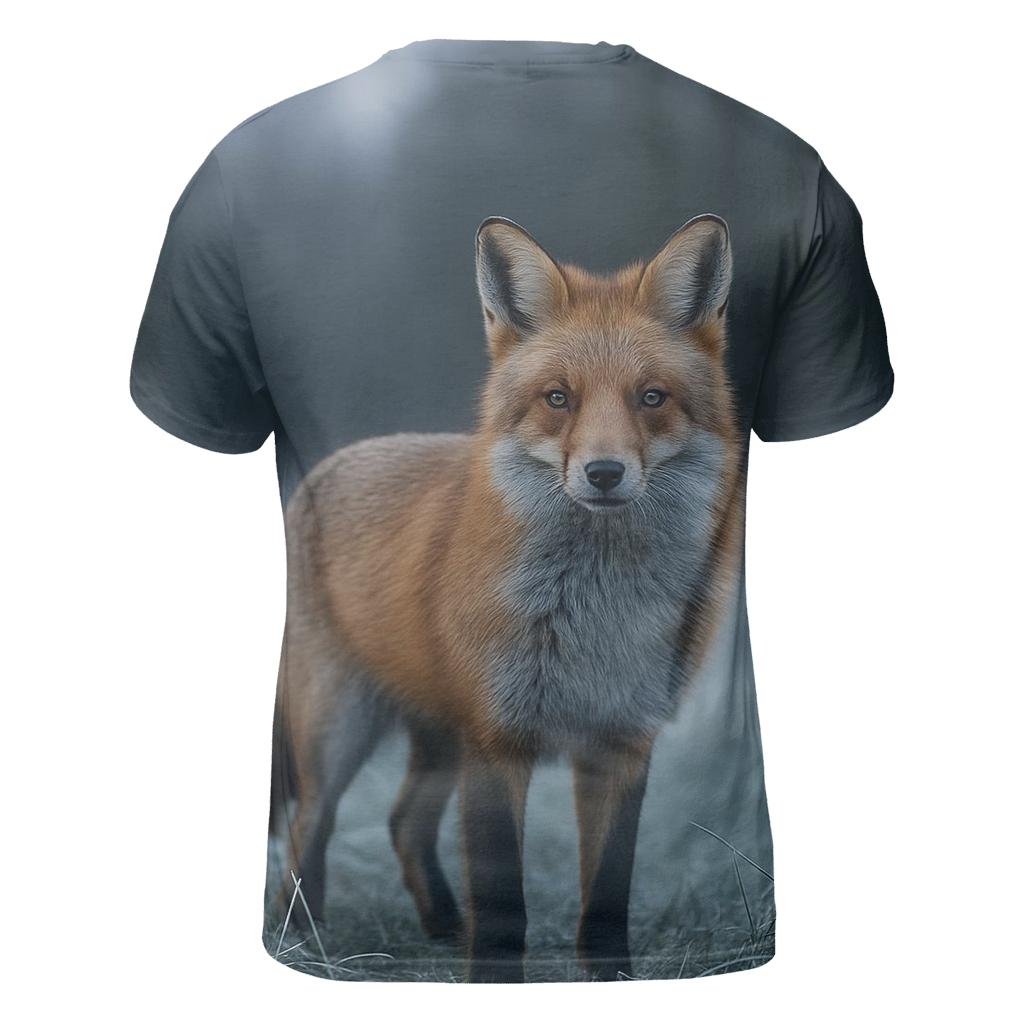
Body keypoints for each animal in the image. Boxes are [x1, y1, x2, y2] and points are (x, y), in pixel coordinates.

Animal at [270, 214, 743, 982]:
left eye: (652, 397)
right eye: (558, 398)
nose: (604, 473)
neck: (596, 615)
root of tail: (328, 466)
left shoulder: (623, 742)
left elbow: (608, 887)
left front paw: (609, 973)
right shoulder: (497, 738)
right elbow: (501, 895)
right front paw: (492, 973)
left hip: (438, 738)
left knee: (404, 821)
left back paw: (440, 926)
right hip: (339, 728)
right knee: (308, 824)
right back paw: (306, 936)